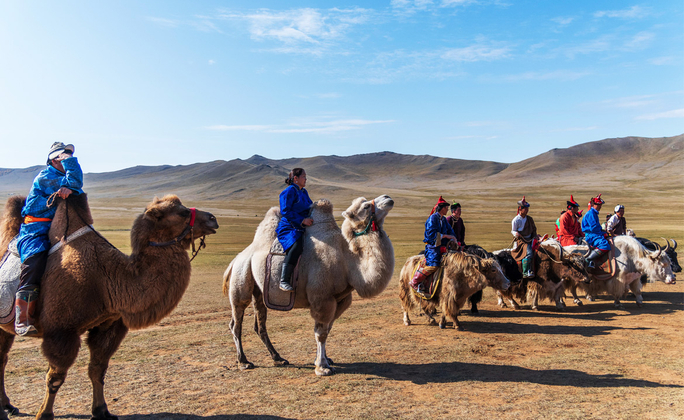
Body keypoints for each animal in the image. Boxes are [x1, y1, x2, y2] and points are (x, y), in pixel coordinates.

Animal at [0, 193, 218, 420]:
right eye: (182, 212)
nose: (213, 219)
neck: (107, 279)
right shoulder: (61, 331)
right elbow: (56, 377)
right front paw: (44, 414)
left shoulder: (109, 323)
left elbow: (97, 370)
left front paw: (101, 410)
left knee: (2, 359)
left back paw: (7, 405)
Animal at [223, 195, 394, 376]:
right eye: (366, 206)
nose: (387, 198)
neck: (347, 259)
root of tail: (237, 258)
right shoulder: (322, 299)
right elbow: (321, 333)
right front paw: (322, 367)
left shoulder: (341, 300)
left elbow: (328, 328)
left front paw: (325, 359)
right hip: (241, 278)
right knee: (236, 321)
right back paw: (244, 362)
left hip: (259, 290)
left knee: (260, 324)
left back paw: (278, 358)